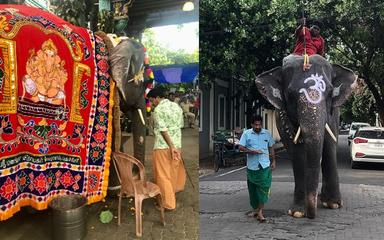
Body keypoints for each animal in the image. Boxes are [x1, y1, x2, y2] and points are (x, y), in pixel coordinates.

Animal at [255, 54, 356, 219]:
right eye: (290, 94)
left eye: (330, 93)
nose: (311, 215)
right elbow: (297, 154)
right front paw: (297, 212)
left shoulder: (333, 116)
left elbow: (329, 148)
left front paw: (334, 204)